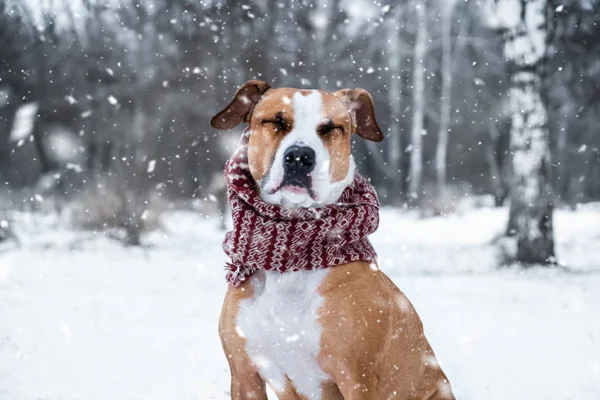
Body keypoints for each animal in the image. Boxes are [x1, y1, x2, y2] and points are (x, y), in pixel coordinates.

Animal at [212, 79, 454, 398]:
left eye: (330, 128)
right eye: (276, 121)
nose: (300, 157)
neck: (289, 262)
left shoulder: (357, 378)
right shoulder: (243, 375)